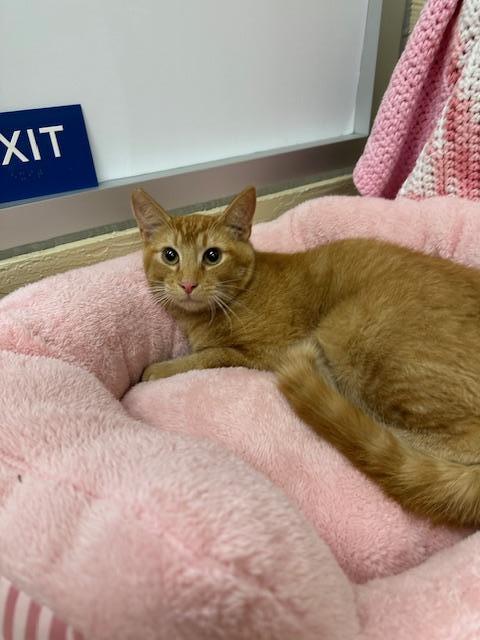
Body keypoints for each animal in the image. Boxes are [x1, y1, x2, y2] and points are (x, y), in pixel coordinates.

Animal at [133, 188, 480, 528]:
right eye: (170, 255)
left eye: (212, 256)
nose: (188, 284)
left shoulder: (267, 352)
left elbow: (207, 356)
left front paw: (157, 369)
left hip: (350, 332)